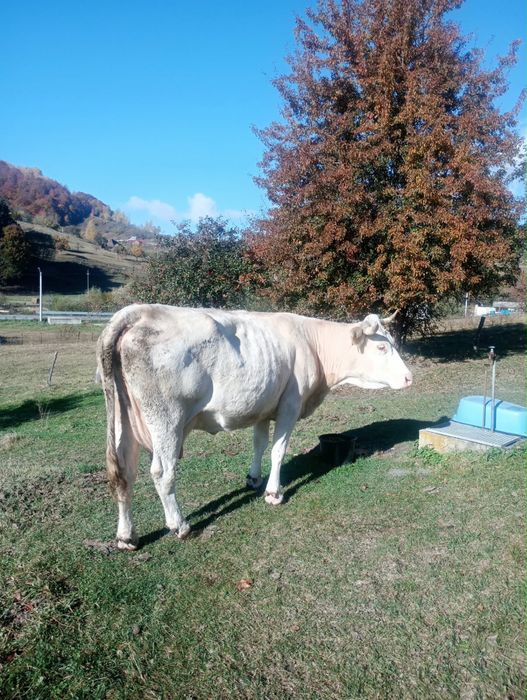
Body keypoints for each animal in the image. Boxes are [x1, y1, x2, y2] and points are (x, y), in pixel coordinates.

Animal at [96, 304, 412, 549]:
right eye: (382, 347)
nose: (409, 378)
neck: (313, 345)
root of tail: (138, 312)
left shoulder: (263, 406)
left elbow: (259, 444)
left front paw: (253, 478)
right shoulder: (290, 405)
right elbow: (278, 450)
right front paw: (273, 493)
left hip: (124, 421)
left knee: (123, 473)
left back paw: (126, 536)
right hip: (166, 419)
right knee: (162, 473)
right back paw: (180, 525)